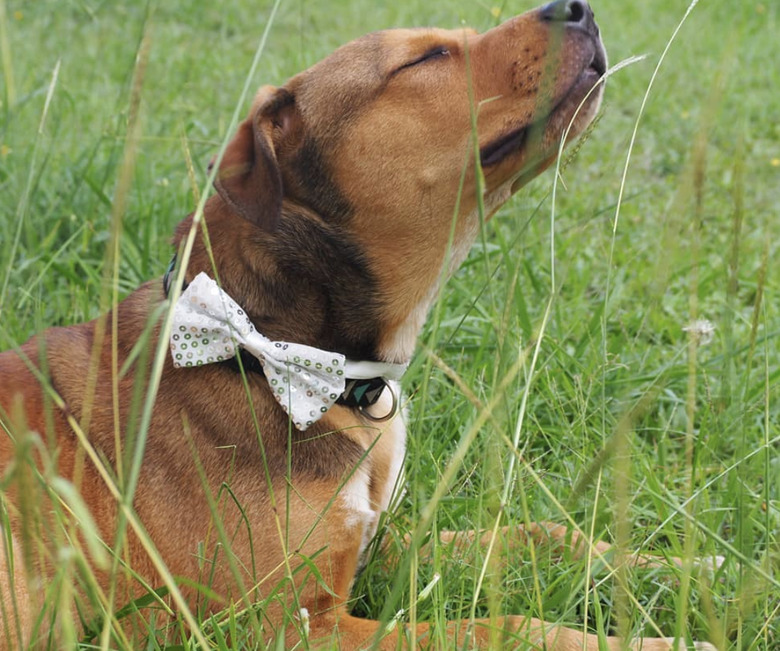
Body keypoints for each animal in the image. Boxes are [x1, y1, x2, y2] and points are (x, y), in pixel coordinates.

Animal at [0, 0, 712, 648]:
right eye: (426, 58)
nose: (579, 8)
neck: (270, 350)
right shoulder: (289, 627)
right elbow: (499, 627)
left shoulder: (382, 541)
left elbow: (541, 535)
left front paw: (683, 566)